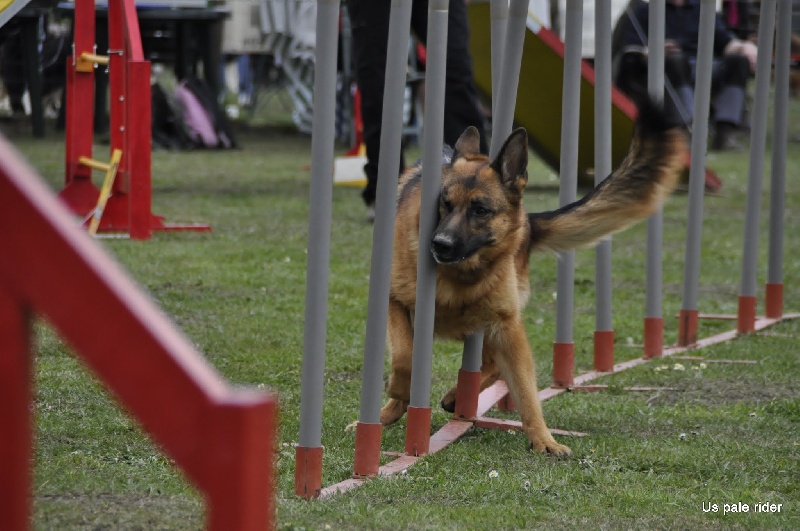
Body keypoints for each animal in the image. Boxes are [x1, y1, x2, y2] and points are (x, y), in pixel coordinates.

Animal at [382, 100, 688, 458]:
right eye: (444, 205)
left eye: (480, 210)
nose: (439, 244)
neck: (462, 276)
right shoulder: (394, 303)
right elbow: (405, 358)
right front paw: (396, 396)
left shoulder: (508, 329)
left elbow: (526, 391)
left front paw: (544, 440)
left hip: (496, 326)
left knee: (492, 364)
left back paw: (456, 395)